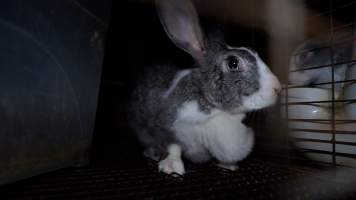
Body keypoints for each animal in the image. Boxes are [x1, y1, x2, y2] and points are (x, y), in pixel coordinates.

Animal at [128, 0, 280, 175]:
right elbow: (174, 147)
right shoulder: (169, 125)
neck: (216, 109)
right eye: (233, 63)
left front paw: (229, 166)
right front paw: (171, 167)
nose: (277, 88)